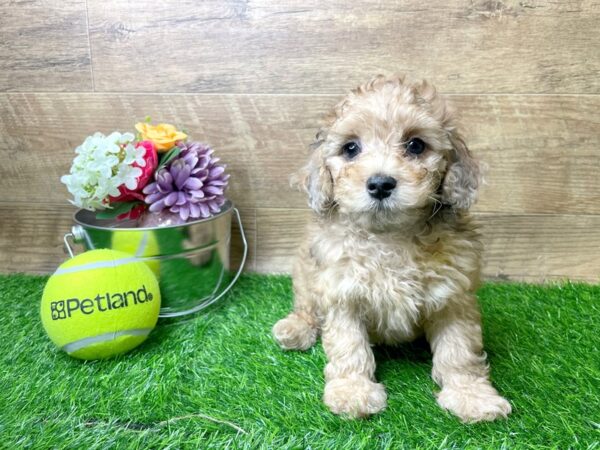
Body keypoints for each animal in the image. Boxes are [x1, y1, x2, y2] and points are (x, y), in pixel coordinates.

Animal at [272, 74, 510, 422]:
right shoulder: (341, 292)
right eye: (351, 148)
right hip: (305, 272)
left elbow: (459, 349)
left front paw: (471, 396)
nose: (381, 183)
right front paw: (353, 392)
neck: (390, 237)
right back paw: (295, 328)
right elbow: (348, 346)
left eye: (416, 145)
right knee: (306, 306)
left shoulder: (453, 295)